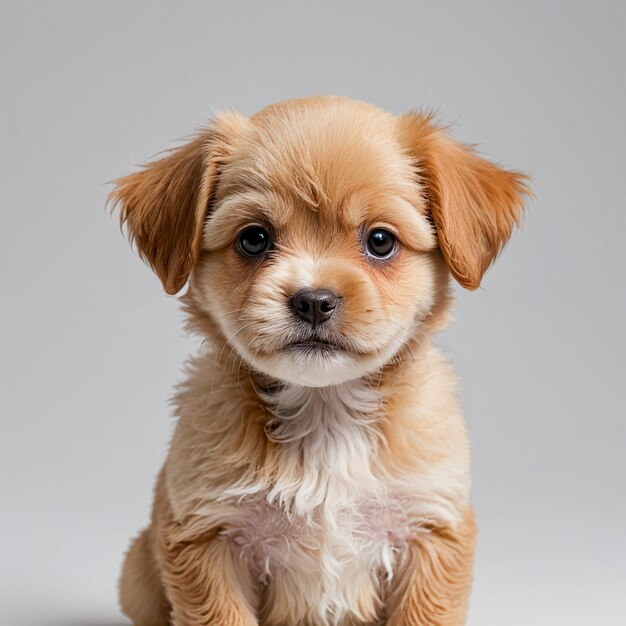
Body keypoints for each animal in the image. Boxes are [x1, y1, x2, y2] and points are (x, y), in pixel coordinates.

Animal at [111, 94, 528, 624]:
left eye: (380, 241)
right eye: (254, 239)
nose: (313, 300)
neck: (325, 410)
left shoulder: (430, 528)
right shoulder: (209, 536)